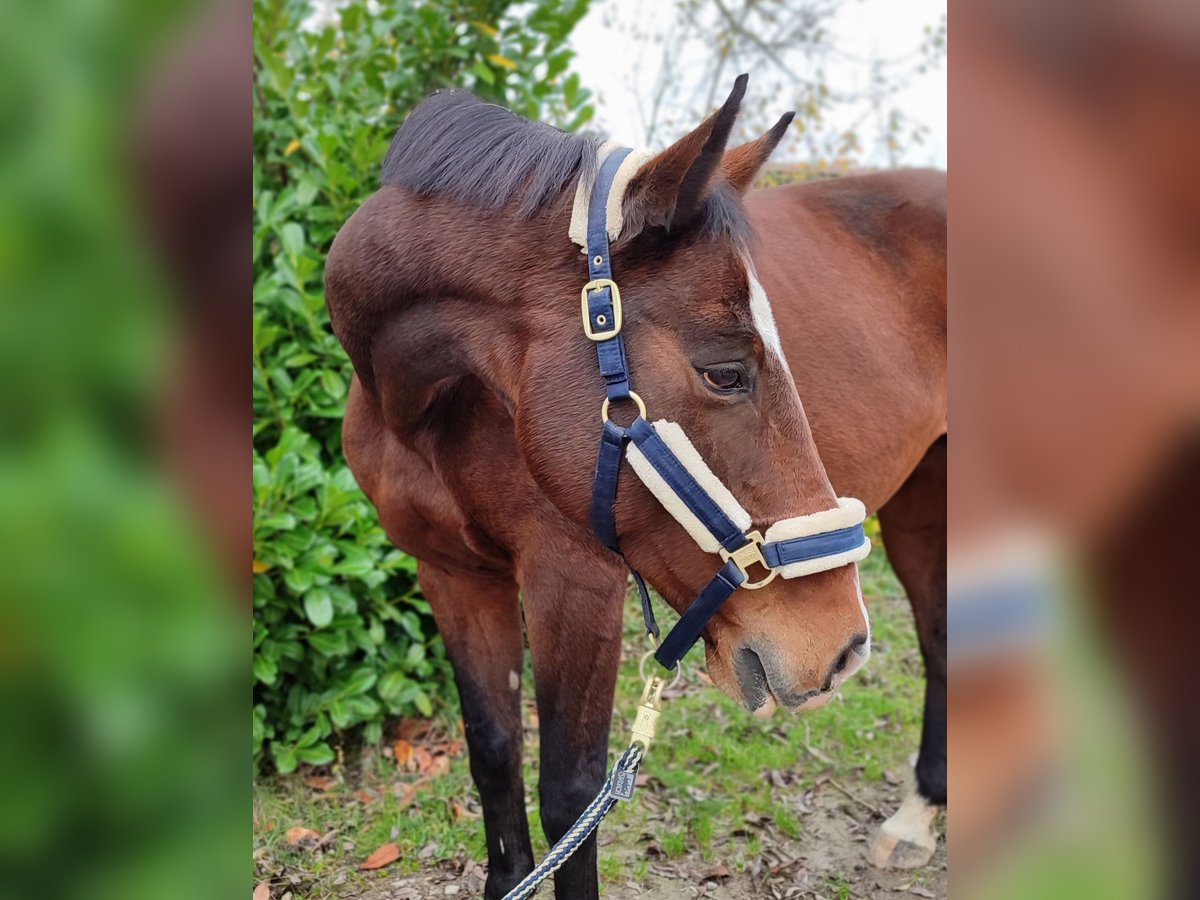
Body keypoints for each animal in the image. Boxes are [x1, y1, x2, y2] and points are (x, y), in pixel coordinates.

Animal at [326, 79, 945, 900]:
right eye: (725, 372)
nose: (839, 649)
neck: (429, 408)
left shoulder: (574, 582)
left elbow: (571, 795)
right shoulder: (453, 576)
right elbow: (492, 753)